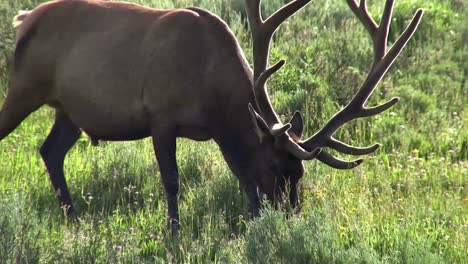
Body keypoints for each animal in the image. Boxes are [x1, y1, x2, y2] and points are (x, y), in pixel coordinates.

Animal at [0, 0, 424, 234]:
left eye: (301, 172)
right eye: (275, 167)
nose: (291, 216)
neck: (213, 90)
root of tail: (23, 19)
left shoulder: (220, 133)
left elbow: (241, 179)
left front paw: (252, 221)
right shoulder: (161, 114)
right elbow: (172, 181)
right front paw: (173, 234)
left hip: (69, 110)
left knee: (50, 151)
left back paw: (73, 220)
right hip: (24, 86)